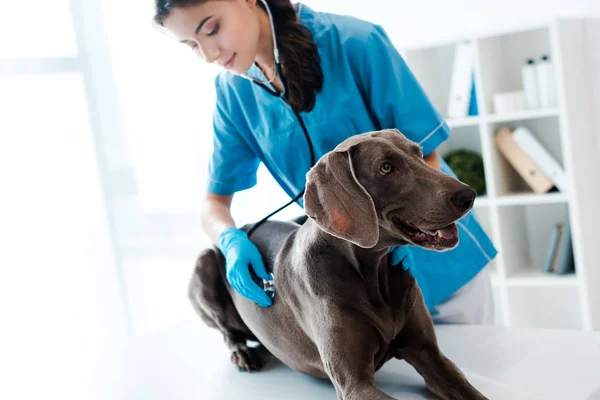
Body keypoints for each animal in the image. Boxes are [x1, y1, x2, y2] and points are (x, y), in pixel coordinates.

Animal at [191, 129, 488, 400]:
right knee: (228, 331)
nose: (468, 195)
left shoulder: (430, 355)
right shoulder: (354, 383)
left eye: (418, 153)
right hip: (205, 263)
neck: (371, 270)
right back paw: (242, 353)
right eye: (386, 168)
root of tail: (243, 227)